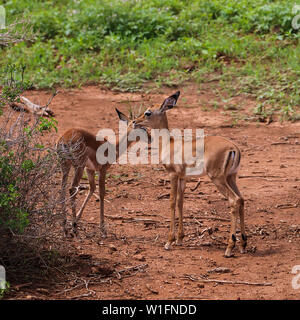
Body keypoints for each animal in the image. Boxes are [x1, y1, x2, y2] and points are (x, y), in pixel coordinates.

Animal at [134, 91, 246, 256]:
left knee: (234, 200)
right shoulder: (183, 178)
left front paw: (169, 241)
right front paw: (180, 239)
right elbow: (180, 202)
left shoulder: (173, 175)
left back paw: (229, 248)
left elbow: (172, 202)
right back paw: (243, 245)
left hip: (218, 179)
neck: (168, 144)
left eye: (148, 112)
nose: (135, 121)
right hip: (231, 178)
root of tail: (234, 147)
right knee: (242, 199)